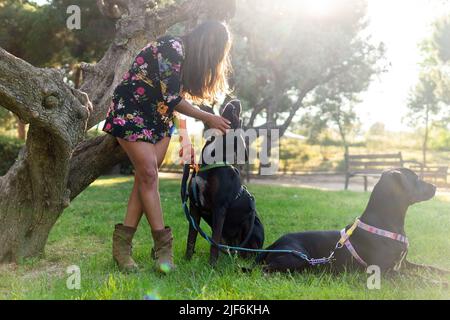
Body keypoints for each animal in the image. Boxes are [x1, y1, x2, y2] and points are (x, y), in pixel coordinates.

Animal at [179, 99, 264, 264]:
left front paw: (211, 265)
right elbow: (191, 237)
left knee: (247, 250)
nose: (236, 101)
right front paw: (186, 260)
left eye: (239, 120)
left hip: (252, 225)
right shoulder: (194, 206)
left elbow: (214, 242)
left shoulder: (219, 207)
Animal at [255, 168, 448, 276]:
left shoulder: (404, 263)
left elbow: (430, 268)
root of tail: (273, 245)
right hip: (296, 257)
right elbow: (418, 279)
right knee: (264, 269)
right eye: (416, 179)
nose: (436, 186)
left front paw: (444, 273)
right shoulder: (386, 271)